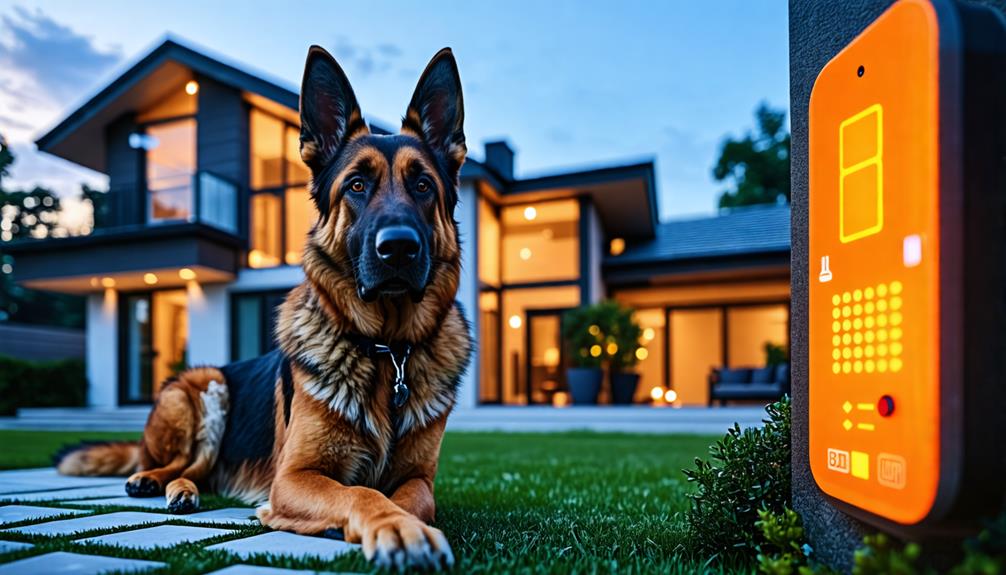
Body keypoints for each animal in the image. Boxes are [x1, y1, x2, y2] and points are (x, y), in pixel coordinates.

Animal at [57, 45, 472, 570]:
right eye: (357, 185)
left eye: (423, 186)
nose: (398, 248)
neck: (386, 350)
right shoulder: (293, 478)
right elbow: (362, 493)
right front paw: (393, 526)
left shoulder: (420, 479)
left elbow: (411, 498)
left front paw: (400, 520)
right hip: (204, 390)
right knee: (185, 465)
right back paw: (163, 484)